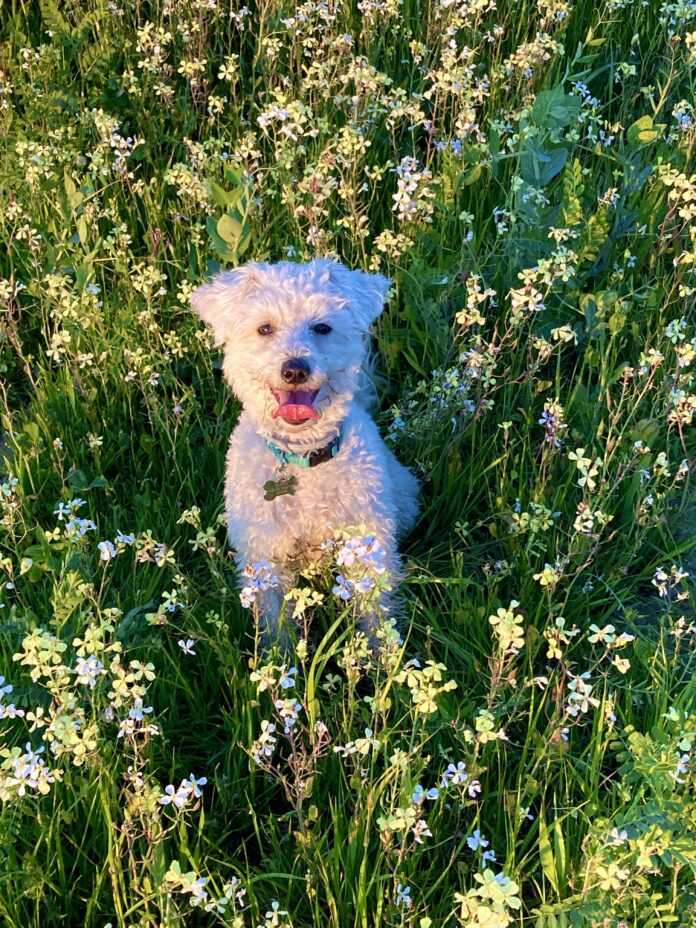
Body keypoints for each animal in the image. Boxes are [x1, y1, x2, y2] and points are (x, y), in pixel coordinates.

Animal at [190, 260, 418, 640]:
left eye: (322, 327)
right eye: (265, 328)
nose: (295, 369)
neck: (302, 459)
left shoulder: (367, 545)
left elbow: (374, 611)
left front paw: (382, 650)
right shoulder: (264, 555)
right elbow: (276, 625)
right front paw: (279, 655)